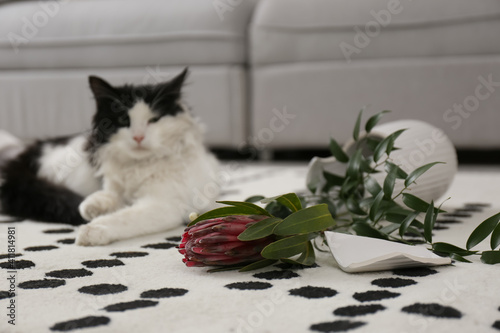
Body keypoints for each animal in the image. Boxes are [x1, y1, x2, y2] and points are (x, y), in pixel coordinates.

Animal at [0, 67, 221, 244]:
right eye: (124, 120)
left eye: (154, 120)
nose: (138, 137)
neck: (139, 165)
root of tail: (27, 152)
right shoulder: (113, 185)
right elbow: (108, 196)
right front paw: (90, 207)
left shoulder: (162, 204)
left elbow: (124, 217)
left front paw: (92, 230)